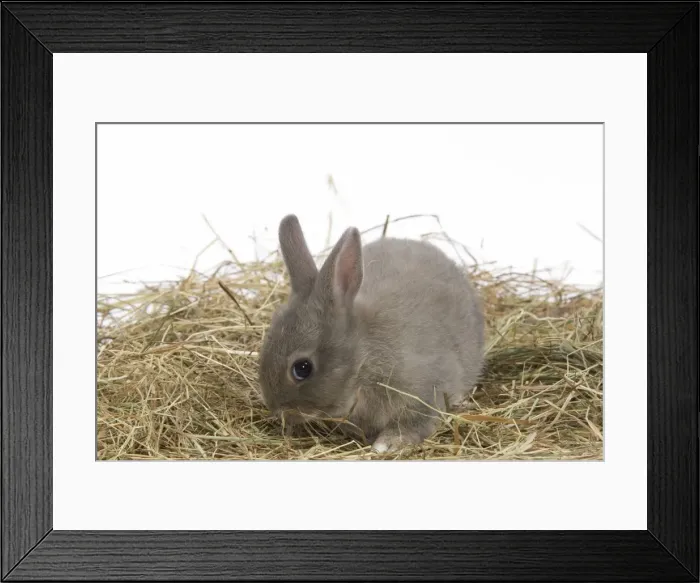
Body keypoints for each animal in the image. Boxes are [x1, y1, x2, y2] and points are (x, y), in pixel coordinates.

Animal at [258, 214, 485, 453]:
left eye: (302, 368)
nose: (277, 411)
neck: (364, 360)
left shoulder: (426, 392)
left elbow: (414, 423)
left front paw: (386, 444)